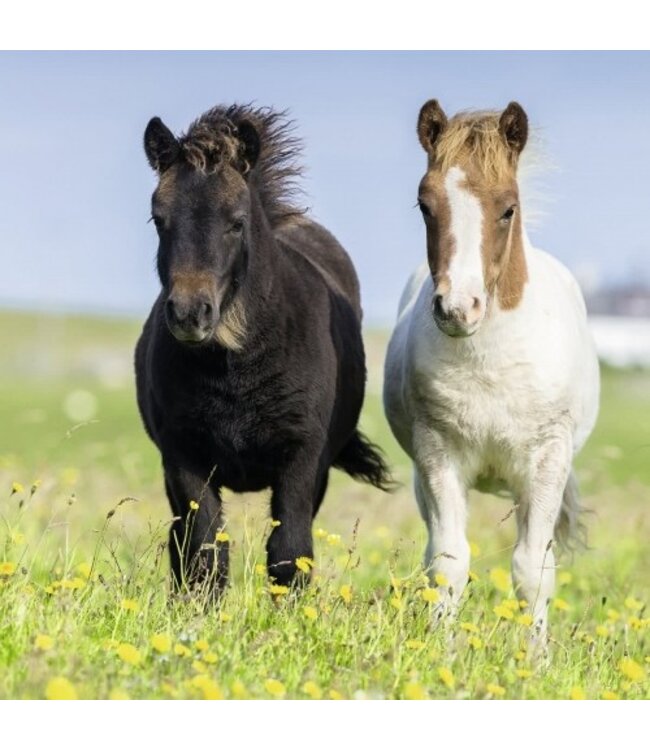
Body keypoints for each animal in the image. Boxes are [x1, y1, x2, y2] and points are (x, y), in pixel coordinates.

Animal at [135, 103, 390, 598]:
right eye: (158, 219)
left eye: (237, 222)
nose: (190, 314)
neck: (234, 368)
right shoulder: (184, 458)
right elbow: (204, 552)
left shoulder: (301, 459)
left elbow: (289, 554)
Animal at [383, 100, 600, 645]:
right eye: (425, 205)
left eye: (508, 208)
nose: (458, 309)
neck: (490, 361)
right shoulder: (437, 455)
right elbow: (448, 563)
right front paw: (441, 653)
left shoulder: (546, 463)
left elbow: (532, 570)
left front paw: (535, 658)